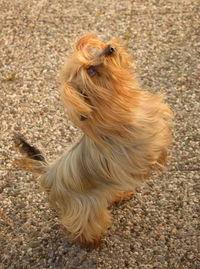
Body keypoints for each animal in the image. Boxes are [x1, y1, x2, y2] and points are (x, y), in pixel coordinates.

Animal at [14, 33, 173, 247]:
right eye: (91, 71)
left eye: (92, 52)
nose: (110, 48)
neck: (121, 101)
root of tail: (47, 173)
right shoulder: (144, 145)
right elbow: (154, 152)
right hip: (83, 207)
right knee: (80, 225)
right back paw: (90, 241)